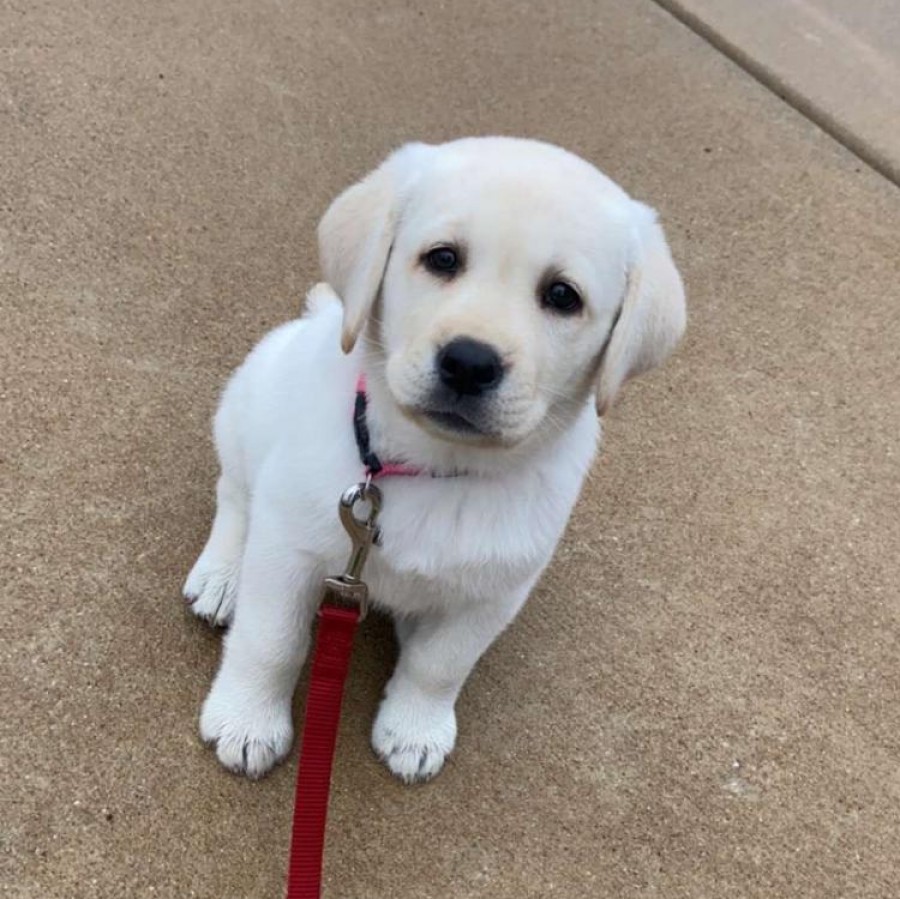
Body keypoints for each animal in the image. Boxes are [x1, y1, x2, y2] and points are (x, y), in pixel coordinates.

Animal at [186, 137, 684, 784]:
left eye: (562, 296)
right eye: (443, 258)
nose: (469, 363)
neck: (433, 468)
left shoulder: (496, 590)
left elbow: (440, 664)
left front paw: (415, 730)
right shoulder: (287, 550)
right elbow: (270, 641)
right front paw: (247, 721)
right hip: (246, 410)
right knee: (235, 496)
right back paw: (222, 577)